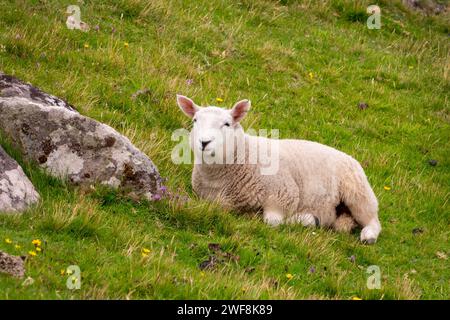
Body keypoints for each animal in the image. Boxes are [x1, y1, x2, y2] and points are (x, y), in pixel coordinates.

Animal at [175, 94, 380, 242]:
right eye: (195, 120)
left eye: (227, 123)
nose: (204, 142)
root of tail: (349, 157)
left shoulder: (284, 195)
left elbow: (272, 221)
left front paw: (306, 220)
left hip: (358, 193)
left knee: (373, 219)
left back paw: (368, 235)